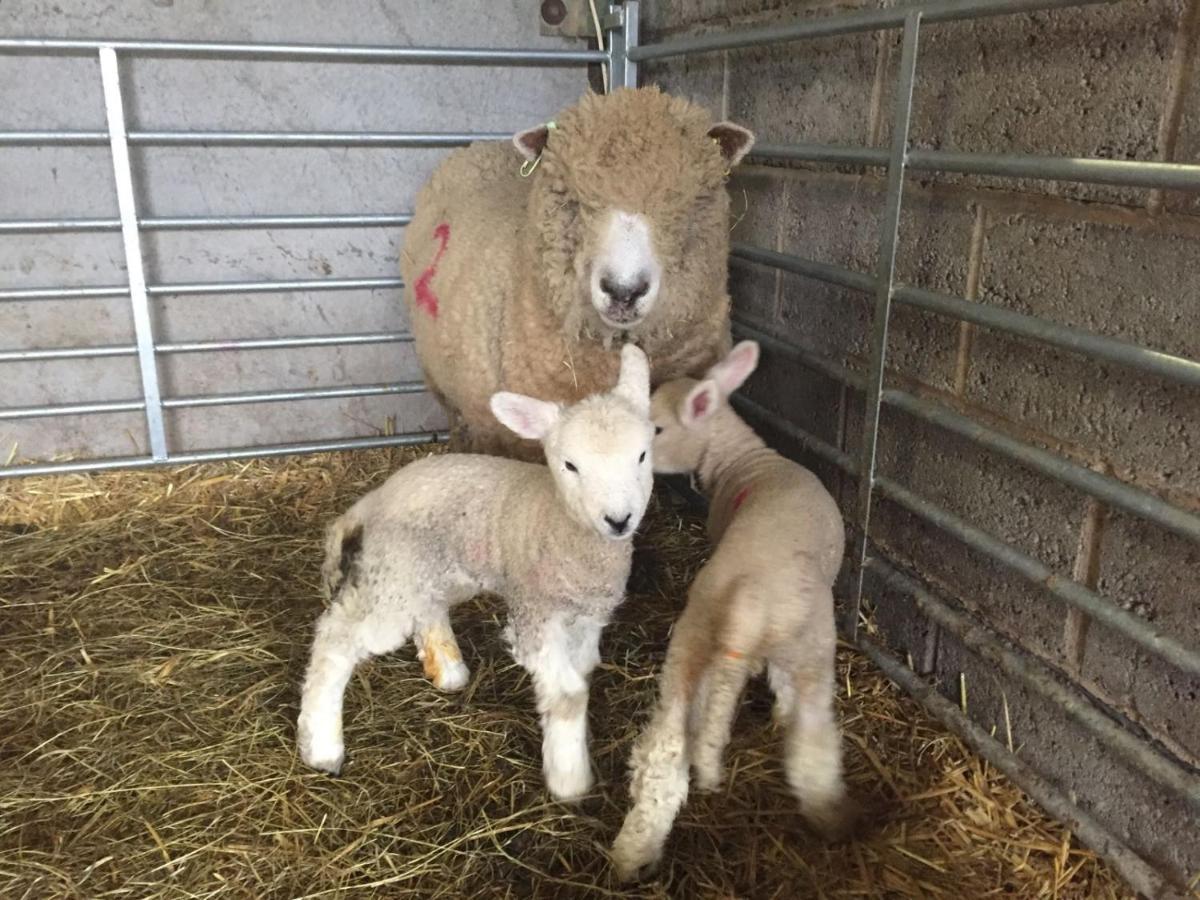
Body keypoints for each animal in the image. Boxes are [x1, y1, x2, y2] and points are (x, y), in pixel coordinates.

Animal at [300, 345, 657, 801]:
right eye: (570, 465)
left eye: (642, 455)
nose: (618, 520)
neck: (561, 526)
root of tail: (374, 499)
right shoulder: (535, 616)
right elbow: (568, 696)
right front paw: (569, 780)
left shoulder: (587, 618)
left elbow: (582, 673)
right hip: (394, 575)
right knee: (337, 637)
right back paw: (322, 747)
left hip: (434, 568)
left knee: (428, 609)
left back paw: (449, 670)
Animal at [609, 338, 854, 883]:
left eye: (656, 429)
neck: (745, 459)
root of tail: (750, 601)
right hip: (810, 647)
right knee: (812, 740)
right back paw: (829, 816)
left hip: (698, 639)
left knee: (668, 745)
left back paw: (633, 850)